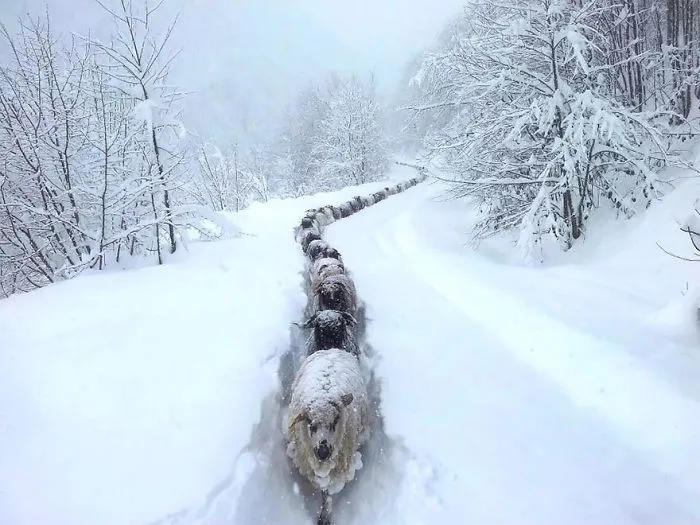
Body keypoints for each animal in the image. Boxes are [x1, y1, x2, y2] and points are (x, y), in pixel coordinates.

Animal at [285, 348, 369, 523]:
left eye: (334, 421)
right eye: (311, 424)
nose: (323, 452)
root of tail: (331, 349)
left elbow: (327, 492)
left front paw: (326, 515)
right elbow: (324, 491)